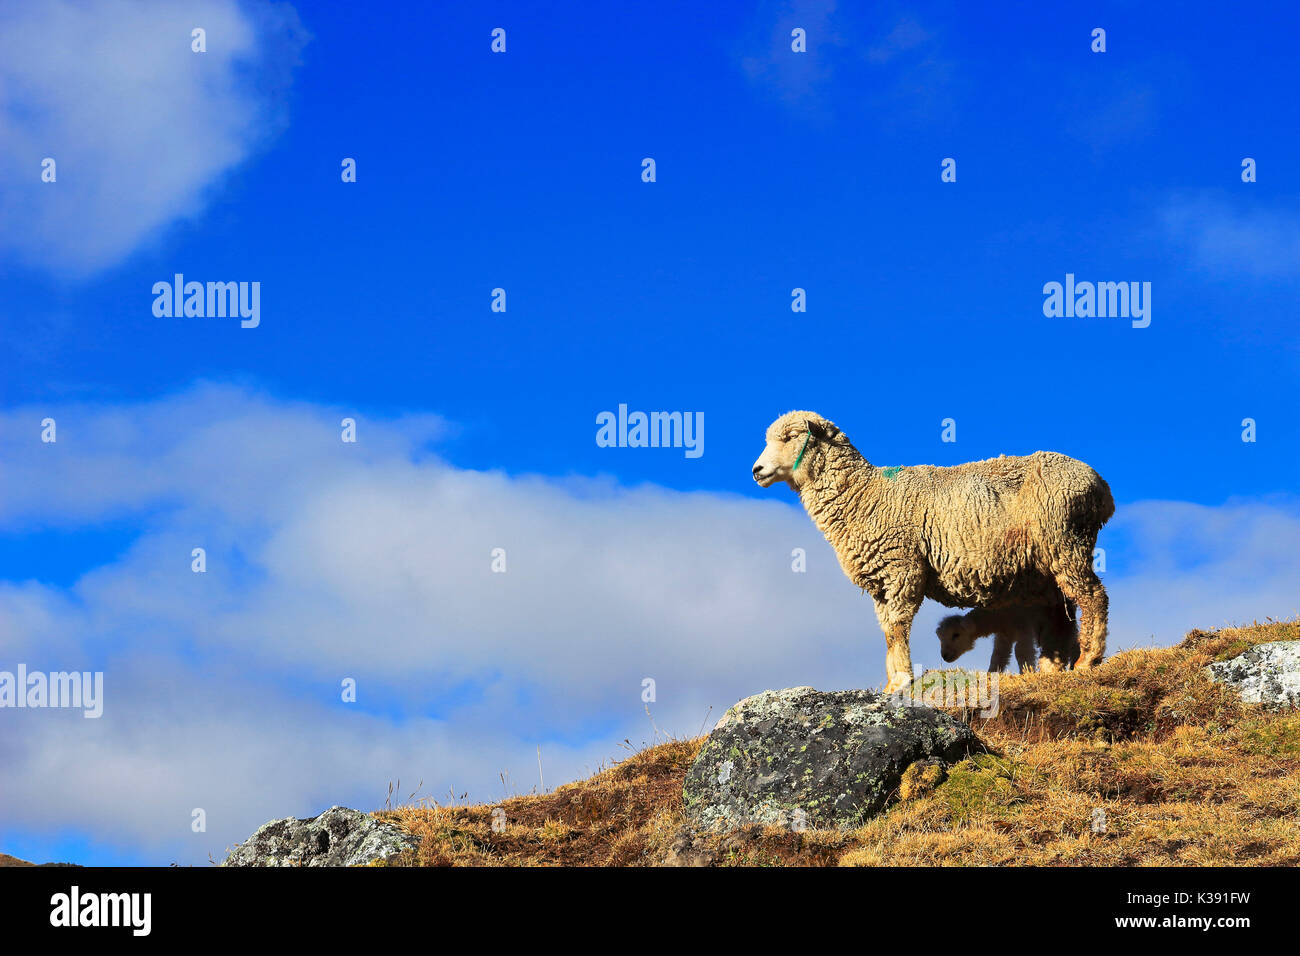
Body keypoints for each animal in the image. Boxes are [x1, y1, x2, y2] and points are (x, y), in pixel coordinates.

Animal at [935, 606, 1076, 671]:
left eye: (956, 635)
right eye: (940, 638)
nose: (944, 656)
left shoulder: (1024, 626)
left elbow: (1021, 651)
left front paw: (1027, 672)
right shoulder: (1004, 634)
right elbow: (998, 656)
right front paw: (991, 674)